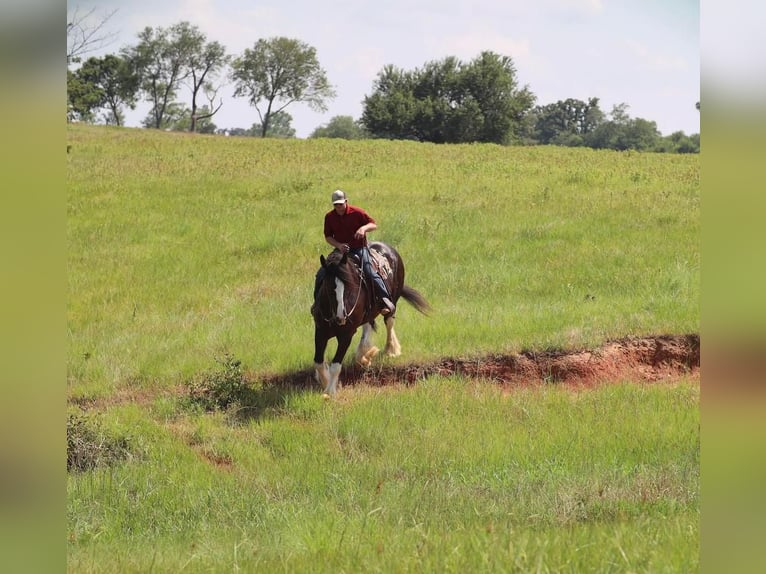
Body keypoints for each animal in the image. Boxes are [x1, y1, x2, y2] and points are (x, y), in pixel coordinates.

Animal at [314, 242, 432, 396]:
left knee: (389, 322)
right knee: (368, 327)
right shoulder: (320, 332)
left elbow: (335, 364)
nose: (342, 317)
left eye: (349, 287)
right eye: (328, 287)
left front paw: (330, 391)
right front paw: (324, 381)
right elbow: (318, 362)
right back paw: (365, 355)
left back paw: (390, 350)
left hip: (392, 301)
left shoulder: (346, 334)